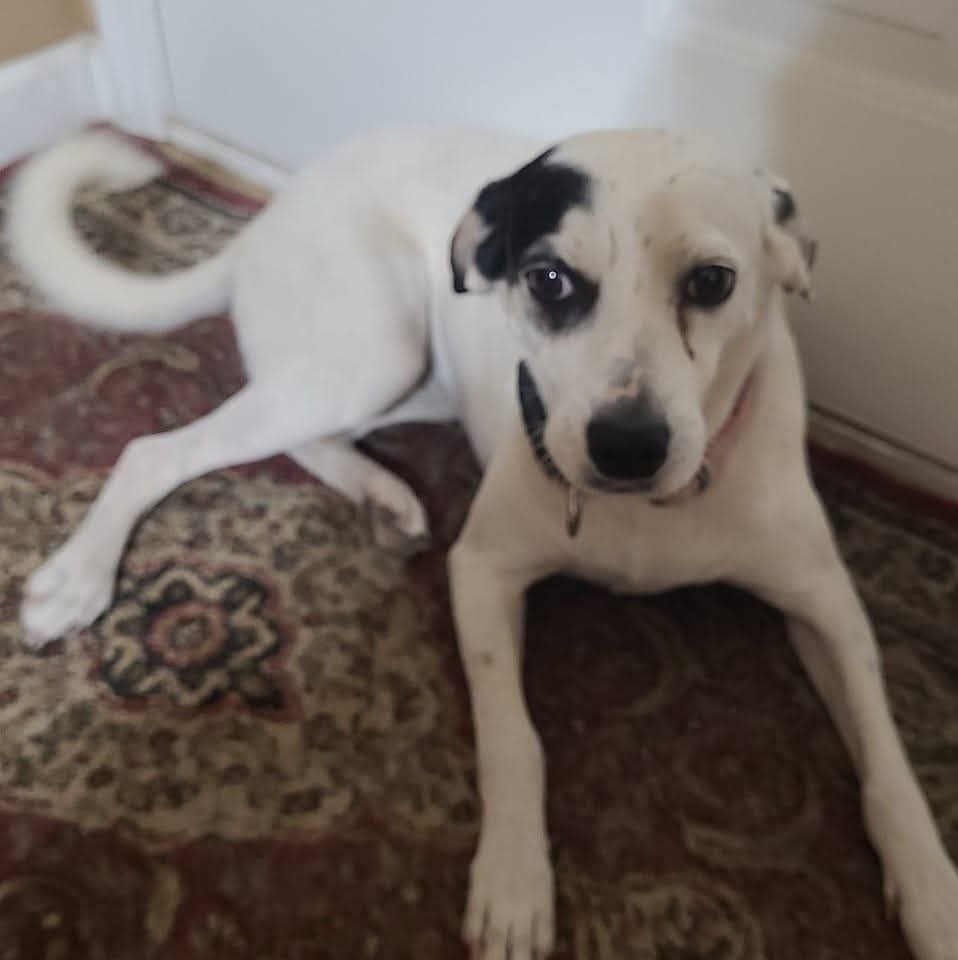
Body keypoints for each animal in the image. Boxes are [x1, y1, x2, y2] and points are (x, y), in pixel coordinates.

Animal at [8, 126, 958, 960]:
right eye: (549, 278)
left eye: (713, 281)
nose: (626, 446)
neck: (652, 514)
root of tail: (274, 211)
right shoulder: (483, 571)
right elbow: (513, 740)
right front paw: (512, 882)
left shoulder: (826, 603)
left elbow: (888, 760)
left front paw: (933, 888)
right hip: (372, 348)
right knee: (157, 450)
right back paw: (77, 578)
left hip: (405, 376)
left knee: (304, 437)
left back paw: (381, 492)